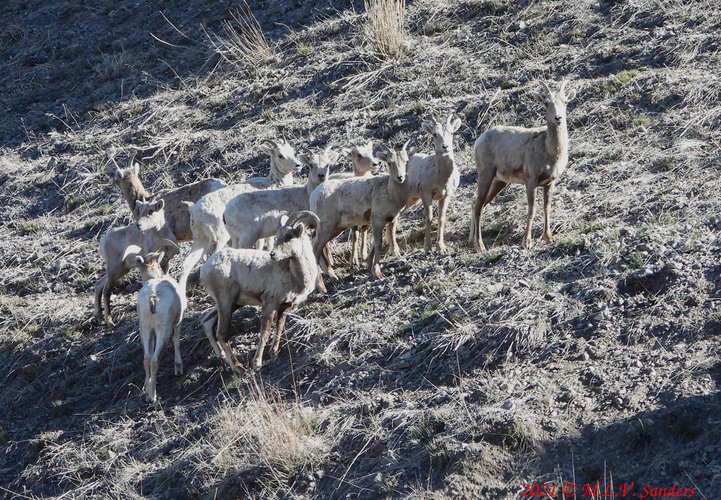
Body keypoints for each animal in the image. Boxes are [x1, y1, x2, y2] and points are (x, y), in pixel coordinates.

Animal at [131, 250, 186, 402]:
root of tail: (153, 297)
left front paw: (146, 385)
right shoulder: (177, 323)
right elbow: (177, 341)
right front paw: (178, 368)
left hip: (145, 328)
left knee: (146, 359)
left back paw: (148, 393)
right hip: (163, 330)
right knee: (154, 361)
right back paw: (152, 397)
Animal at [183, 139, 304, 292]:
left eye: (292, 151)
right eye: (280, 155)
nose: (298, 165)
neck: (272, 183)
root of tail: (194, 210)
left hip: (200, 239)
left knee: (187, 263)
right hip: (219, 238)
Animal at [198, 210, 320, 372]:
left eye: (289, 237)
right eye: (277, 236)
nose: (273, 254)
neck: (294, 276)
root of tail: (205, 269)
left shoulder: (284, 307)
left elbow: (279, 328)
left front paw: (273, 354)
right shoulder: (269, 305)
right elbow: (265, 333)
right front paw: (257, 364)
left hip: (232, 304)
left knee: (207, 321)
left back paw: (222, 357)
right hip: (226, 303)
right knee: (222, 334)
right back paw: (239, 368)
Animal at [310, 141, 416, 290]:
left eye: (406, 161)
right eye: (390, 163)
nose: (400, 177)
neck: (390, 193)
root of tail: (314, 194)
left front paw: (369, 266)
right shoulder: (377, 221)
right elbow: (378, 244)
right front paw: (377, 273)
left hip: (335, 228)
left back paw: (333, 277)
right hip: (326, 226)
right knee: (315, 249)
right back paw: (322, 287)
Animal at [470, 80, 576, 252]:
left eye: (565, 102)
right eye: (546, 103)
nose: (558, 118)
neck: (549, 150)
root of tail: (479, 140)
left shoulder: (550, 183)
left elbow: (547, 207)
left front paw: (548, 238)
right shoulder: (531, 182)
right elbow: (532, 210)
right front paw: (527, 242)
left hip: (499, 182)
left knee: (477, 204)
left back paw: (471, 242)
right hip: (486, 175)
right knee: (478, 205)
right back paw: (480, 245)